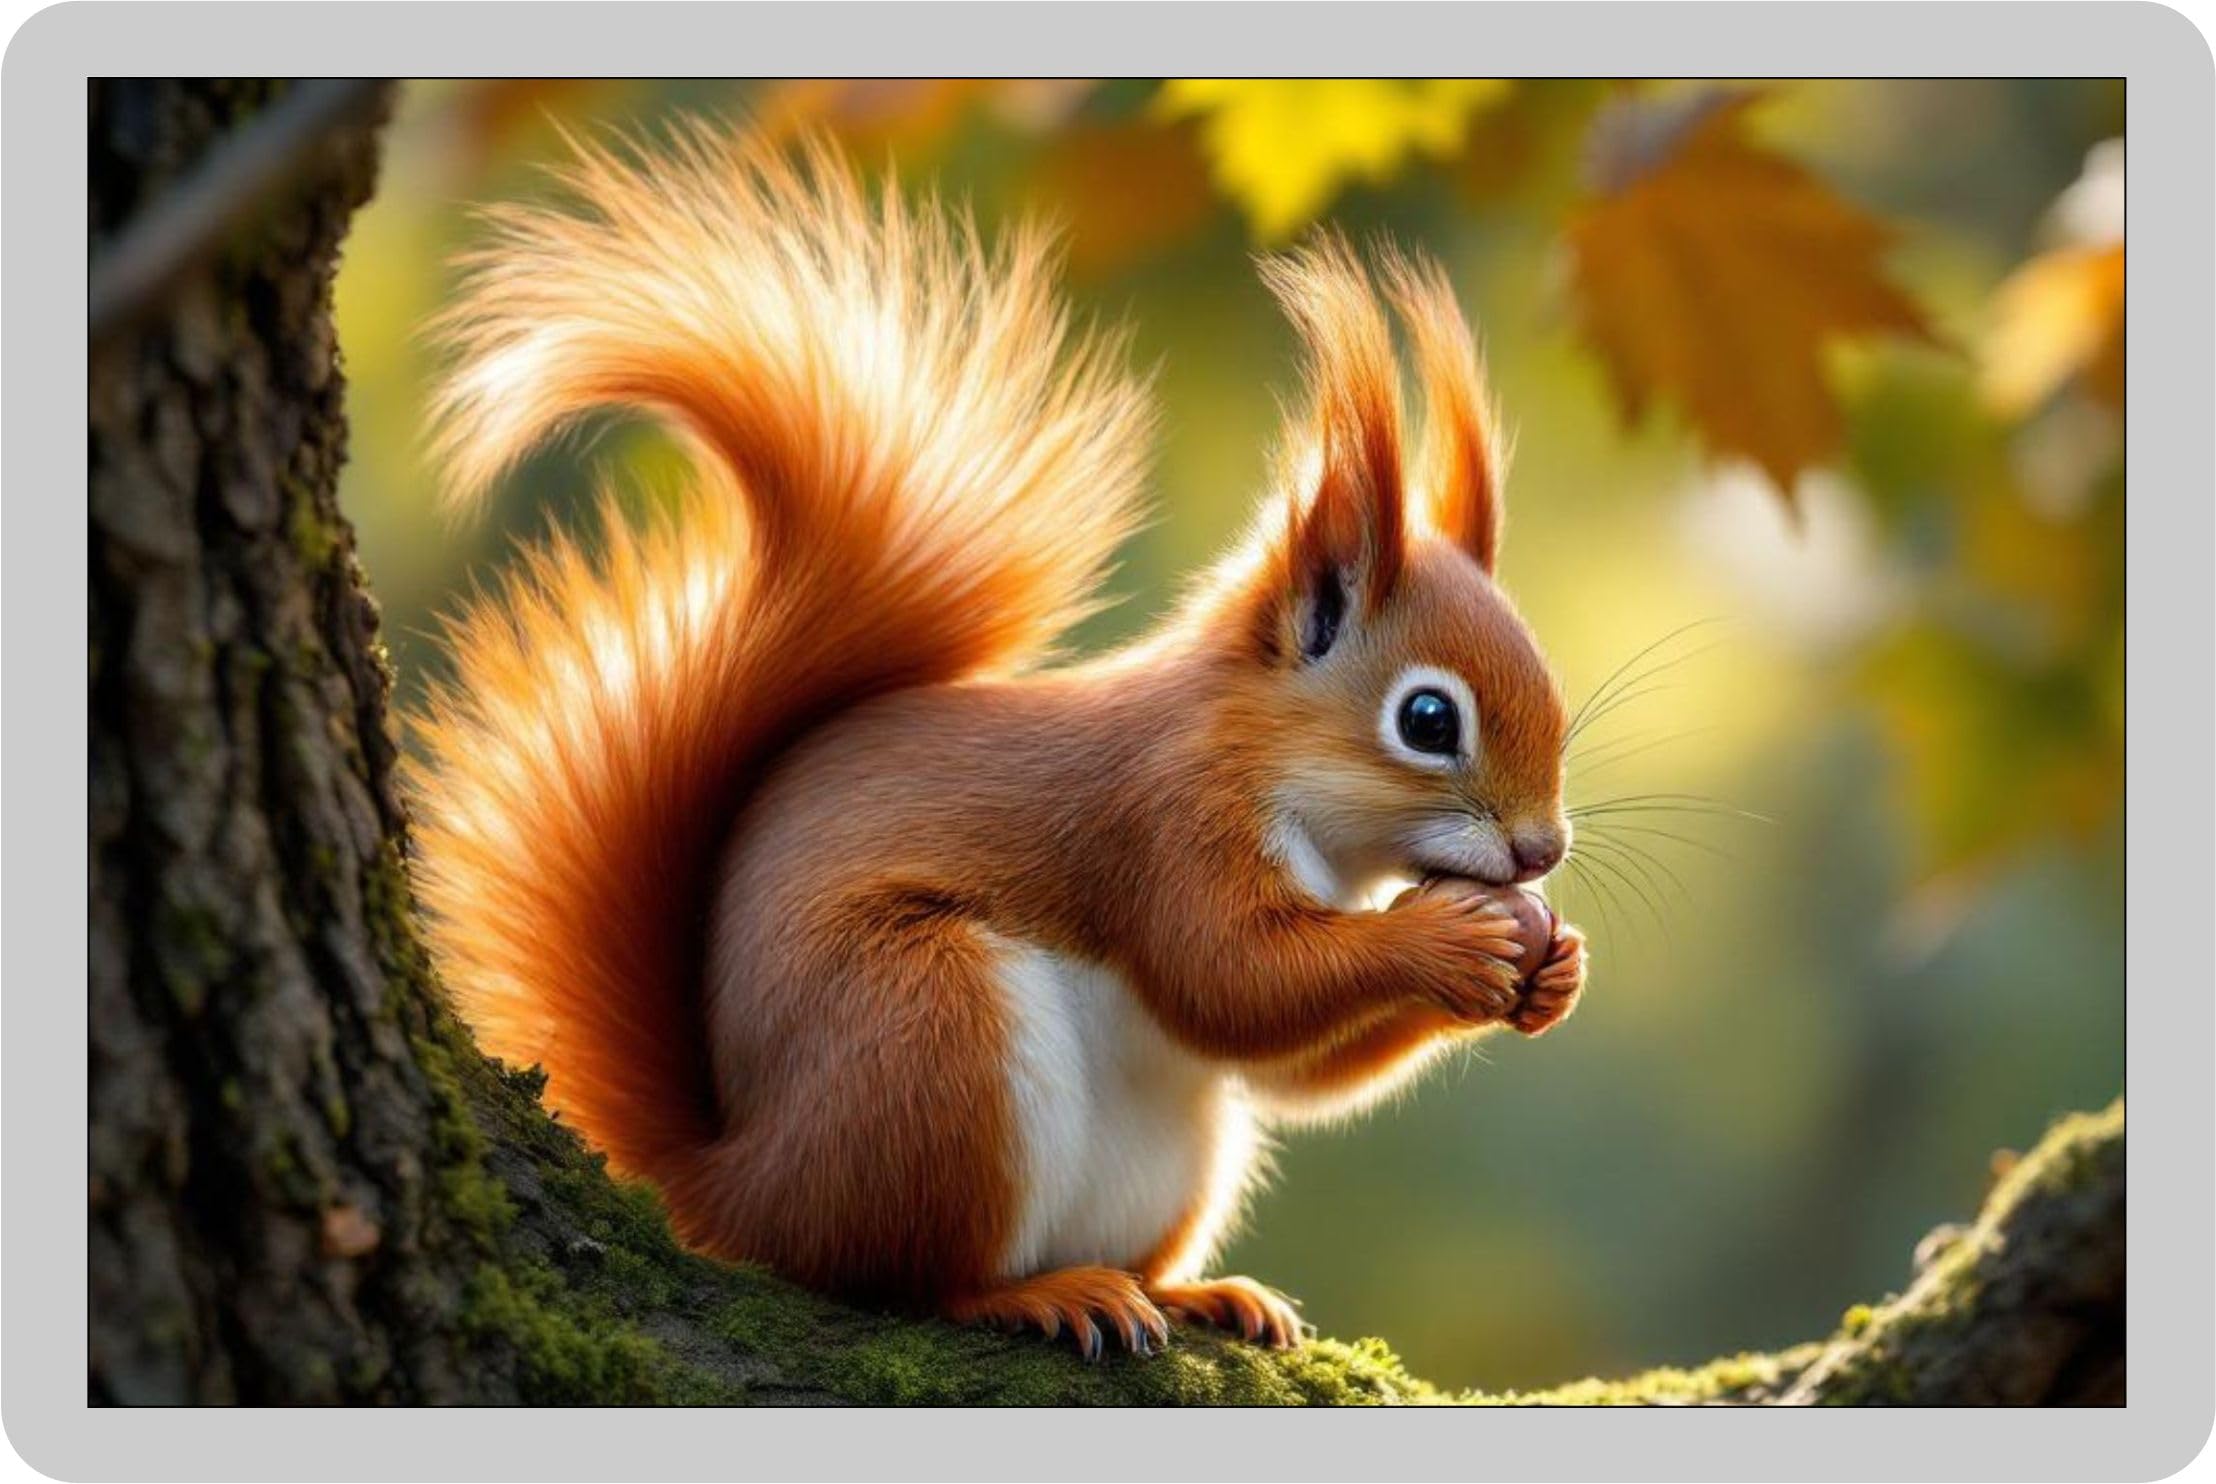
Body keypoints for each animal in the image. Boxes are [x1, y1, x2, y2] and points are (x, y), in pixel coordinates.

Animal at [412, 124, 1587, 1359]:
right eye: (1426, 719)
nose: (1540, 851)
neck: (1274, 774)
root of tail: (736, 1182)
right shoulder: (1163, 820)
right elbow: (1229, 979)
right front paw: (1446, 940)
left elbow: (1293, 1072)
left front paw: (1551, 968)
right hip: (930, 1036)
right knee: (903, 1274)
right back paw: (1038, 1294)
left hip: (1163, 1151)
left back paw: (1194, 1292)